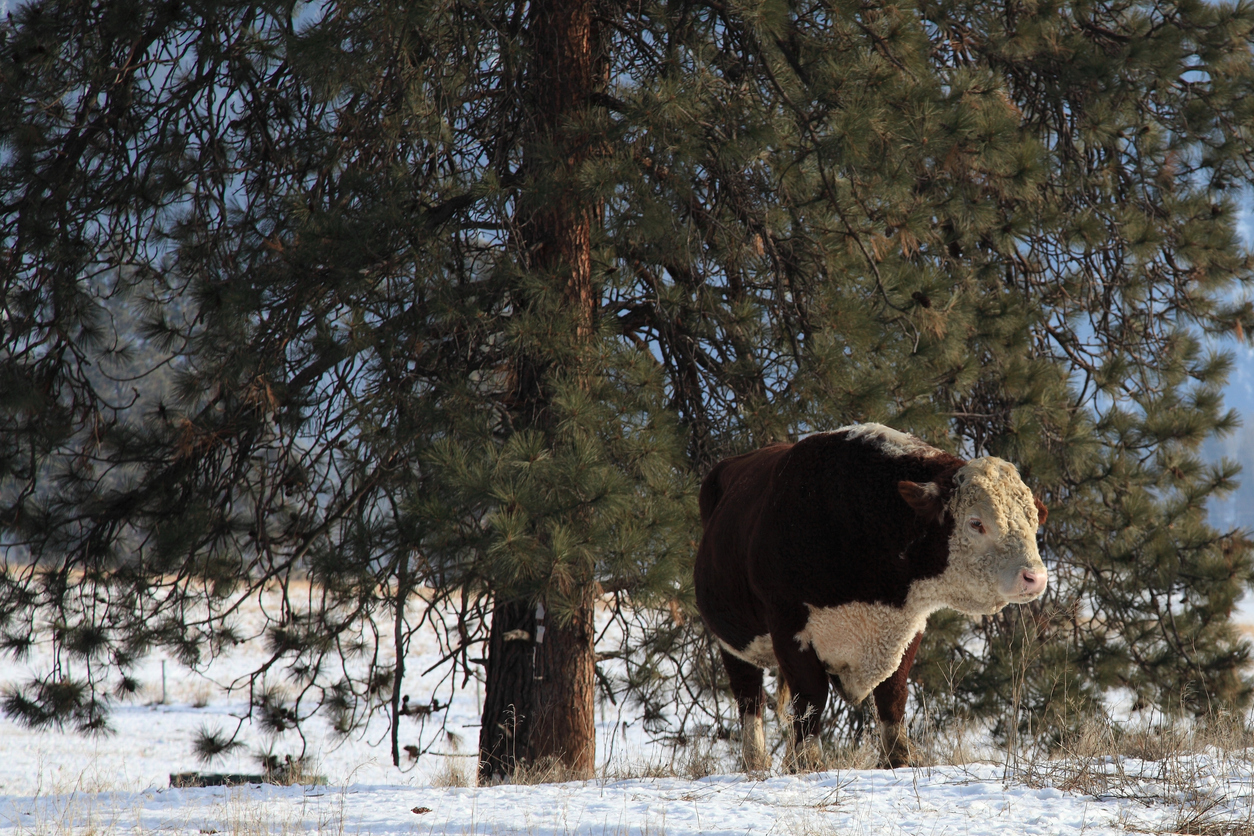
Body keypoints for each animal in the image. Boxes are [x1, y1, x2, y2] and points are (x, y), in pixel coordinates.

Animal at [694, 423, 1048, 770]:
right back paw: (755, 761)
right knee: (749, 700)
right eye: (976, 523)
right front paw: (808, 761)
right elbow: (810, 697)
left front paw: (899, 756)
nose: (1035, 578)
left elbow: (892, 694)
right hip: (732, 641)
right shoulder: (789, 625)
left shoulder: (907, 626)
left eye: (1033, 520)